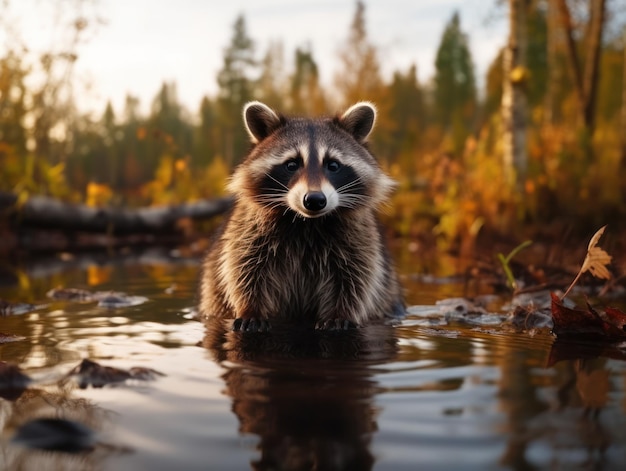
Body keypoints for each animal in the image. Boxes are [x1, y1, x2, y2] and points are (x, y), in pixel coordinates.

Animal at [200, 101, 404, 332]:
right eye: (291, 164)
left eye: (333, 165)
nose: (314, 200)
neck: (306, 222)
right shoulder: (250, 229)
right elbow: (243, 268)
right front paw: (251, 308)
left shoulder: (358, 235)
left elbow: (356, 276)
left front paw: (340, 313)